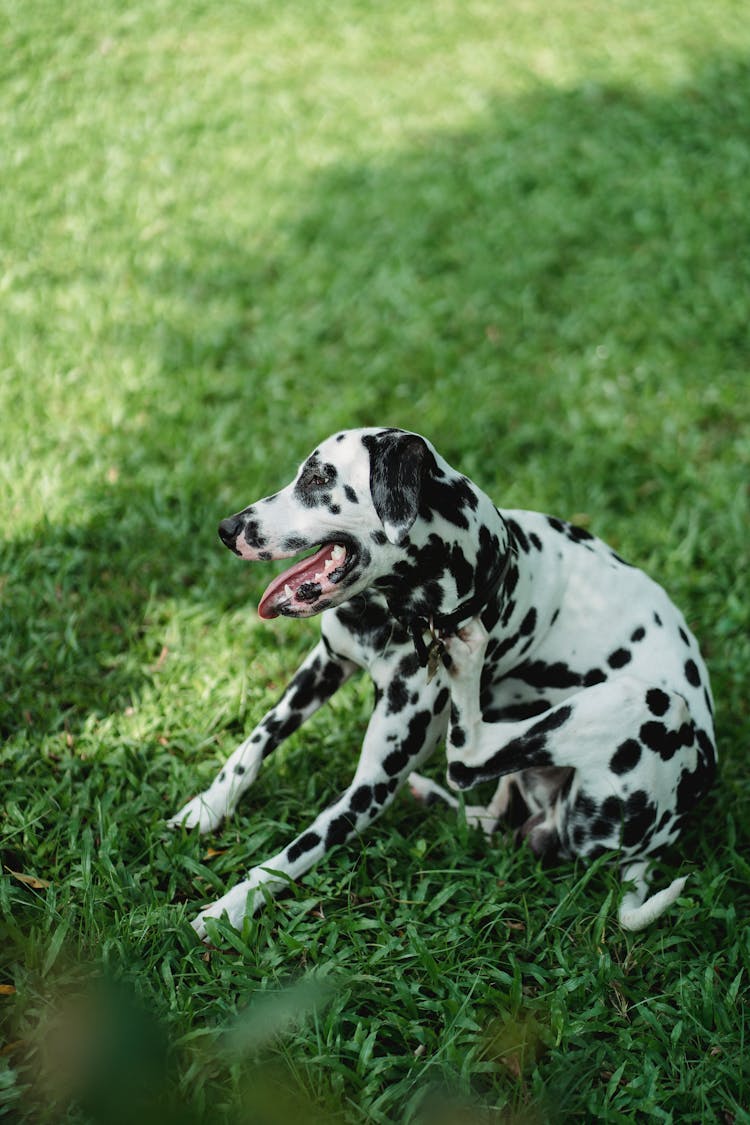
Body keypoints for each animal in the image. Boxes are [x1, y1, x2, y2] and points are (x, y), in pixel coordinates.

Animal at [169, 425, 715, 936]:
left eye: (320, 478)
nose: (227, 528)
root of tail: (655, 844)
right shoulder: (326, 664)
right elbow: (255, 742)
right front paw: (208, 806)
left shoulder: (372, 786)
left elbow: (290, 857)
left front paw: (230, 907)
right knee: (484, 808)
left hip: (652, 704)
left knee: (467, 756)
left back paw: (466, 664)